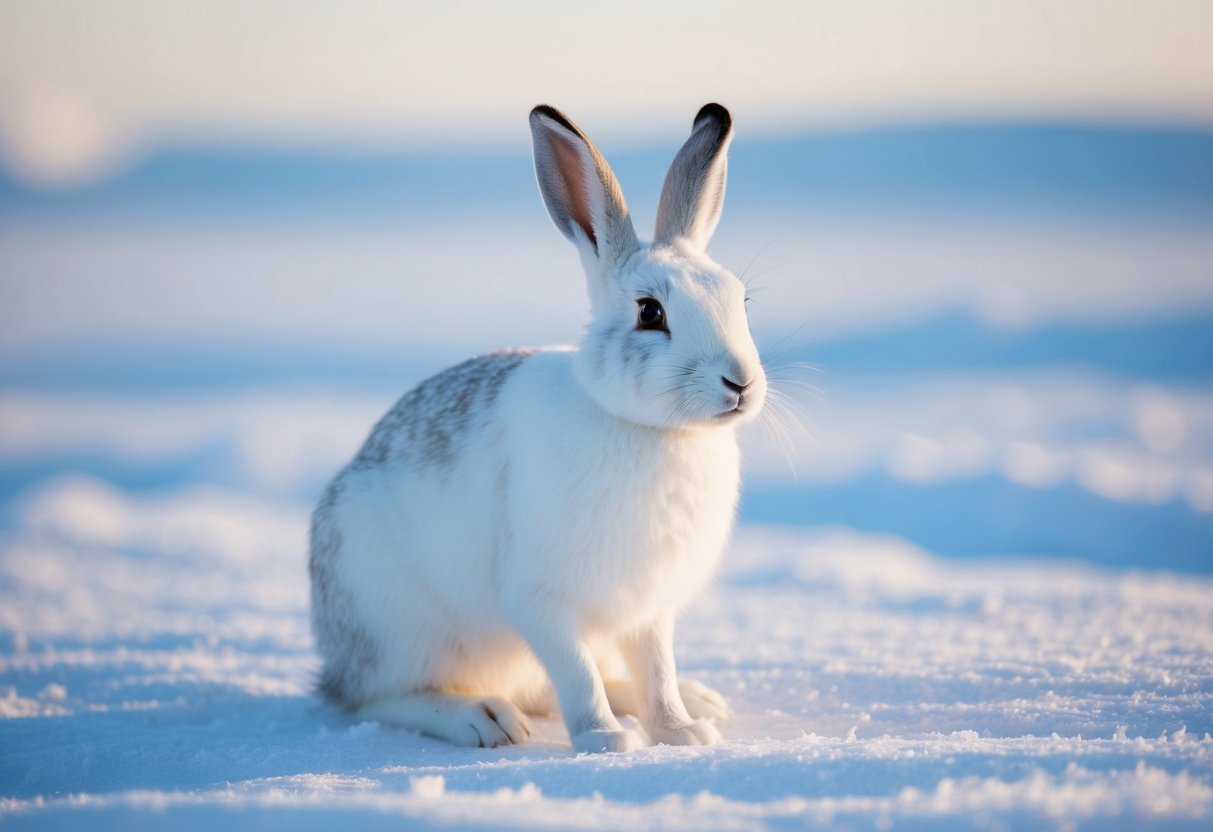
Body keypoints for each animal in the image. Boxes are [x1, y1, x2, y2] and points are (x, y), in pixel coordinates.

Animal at [309, 103, 766, 753]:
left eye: (741, 301)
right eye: (650, 312)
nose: (741, 383)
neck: (647, 429)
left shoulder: (648, 611)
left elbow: (656, 671)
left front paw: (682, 732)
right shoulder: (540, 598)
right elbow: (575, 672)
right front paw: (606, 741)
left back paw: (700, 700)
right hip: (397, 619)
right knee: (384, 696)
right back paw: (481, 718)